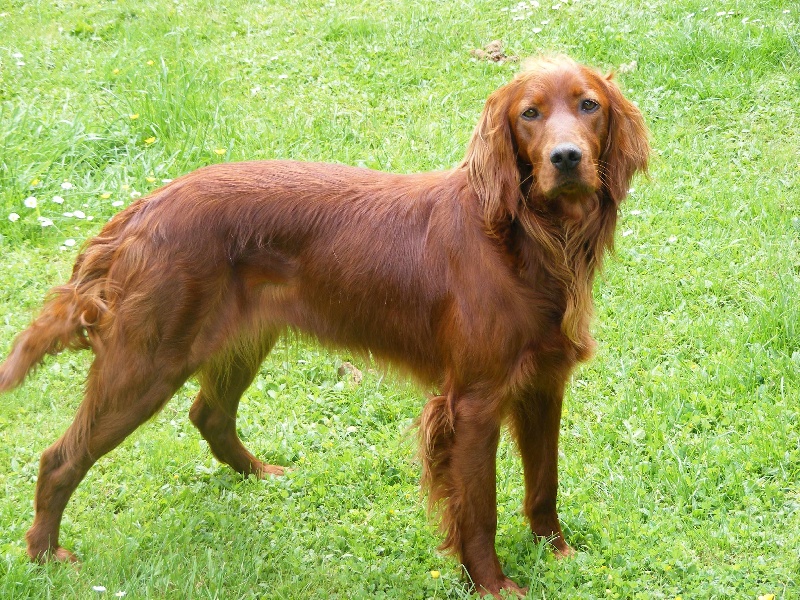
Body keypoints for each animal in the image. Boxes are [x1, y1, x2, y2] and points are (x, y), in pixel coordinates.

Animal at [0, 55, 648, 596]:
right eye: (529, 114)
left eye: (588, 105)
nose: (566, 159)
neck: (529, 238)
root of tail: (141, 211)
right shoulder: (473, 403)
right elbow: (478, 511)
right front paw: (493, 585)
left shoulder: (543, 384)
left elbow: (544, 484)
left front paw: (558, 554)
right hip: (147, 361)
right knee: (61, 458)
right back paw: (45, 556)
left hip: (239, 339)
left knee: (209, 415)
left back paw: (264, 475)